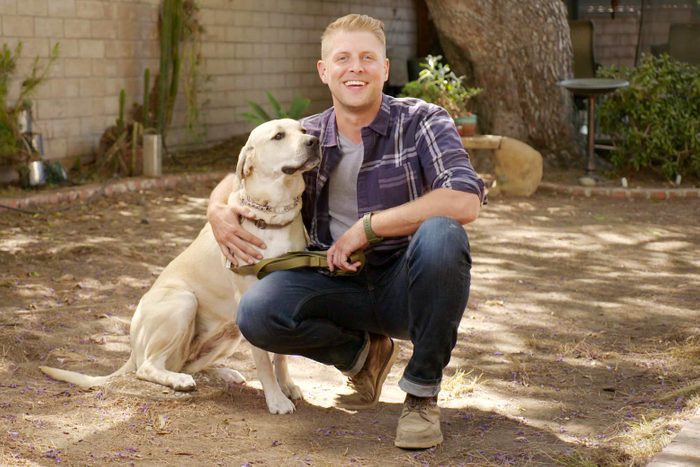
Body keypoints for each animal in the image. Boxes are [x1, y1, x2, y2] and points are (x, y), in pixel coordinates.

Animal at [39, 119, 318, 414]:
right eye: (278, 136)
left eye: (303, 130)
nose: (314, 141)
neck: (272, 215)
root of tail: (133, 349)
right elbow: (264, 361)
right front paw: (276, 399)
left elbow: (281, 356)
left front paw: (286, 386)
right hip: (184, 302)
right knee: (148, 367)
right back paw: (179, 381)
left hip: (228, 333)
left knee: (185, 364)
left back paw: (222, 373)